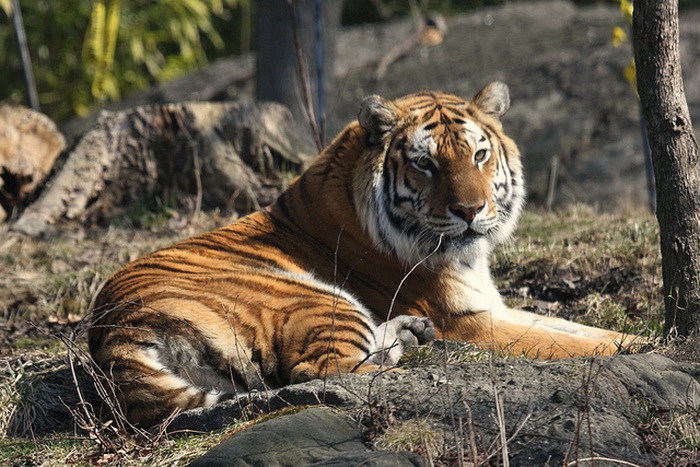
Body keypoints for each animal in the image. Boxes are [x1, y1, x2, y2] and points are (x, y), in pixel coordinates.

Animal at [88, 82, 633, 427]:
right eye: (426, 164)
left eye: (479, 155)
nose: (471, 211)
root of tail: (114, 333)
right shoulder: (468, 321)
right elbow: (568, 343)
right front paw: (643, 347)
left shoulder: (491, 306)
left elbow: (576, 328)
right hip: (317, 298)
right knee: (322, 371)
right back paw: (414, 361)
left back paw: (410, 335)